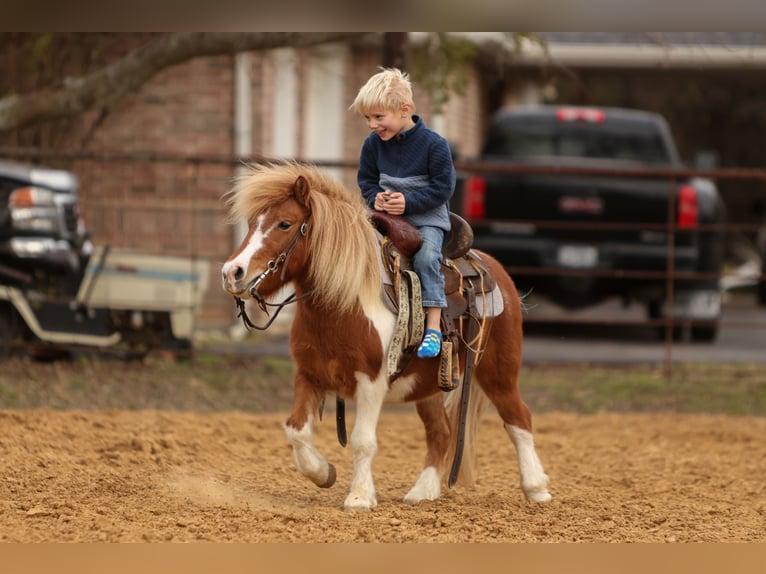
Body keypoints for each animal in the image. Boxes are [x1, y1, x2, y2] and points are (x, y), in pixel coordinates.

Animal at [220, 161, 551, 512]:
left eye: (285, 223)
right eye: (252, 223)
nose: (231, 273)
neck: (344, 303)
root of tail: (492, 267)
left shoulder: (371, 381)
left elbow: (363, 441)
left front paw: (359, 496)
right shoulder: (309, 375)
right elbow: (296, 431)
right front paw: (324, 473)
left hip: (497, 371)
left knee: (518, 418)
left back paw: (536, 488)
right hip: (430, 386)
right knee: (442, 432)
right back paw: (423, 491)